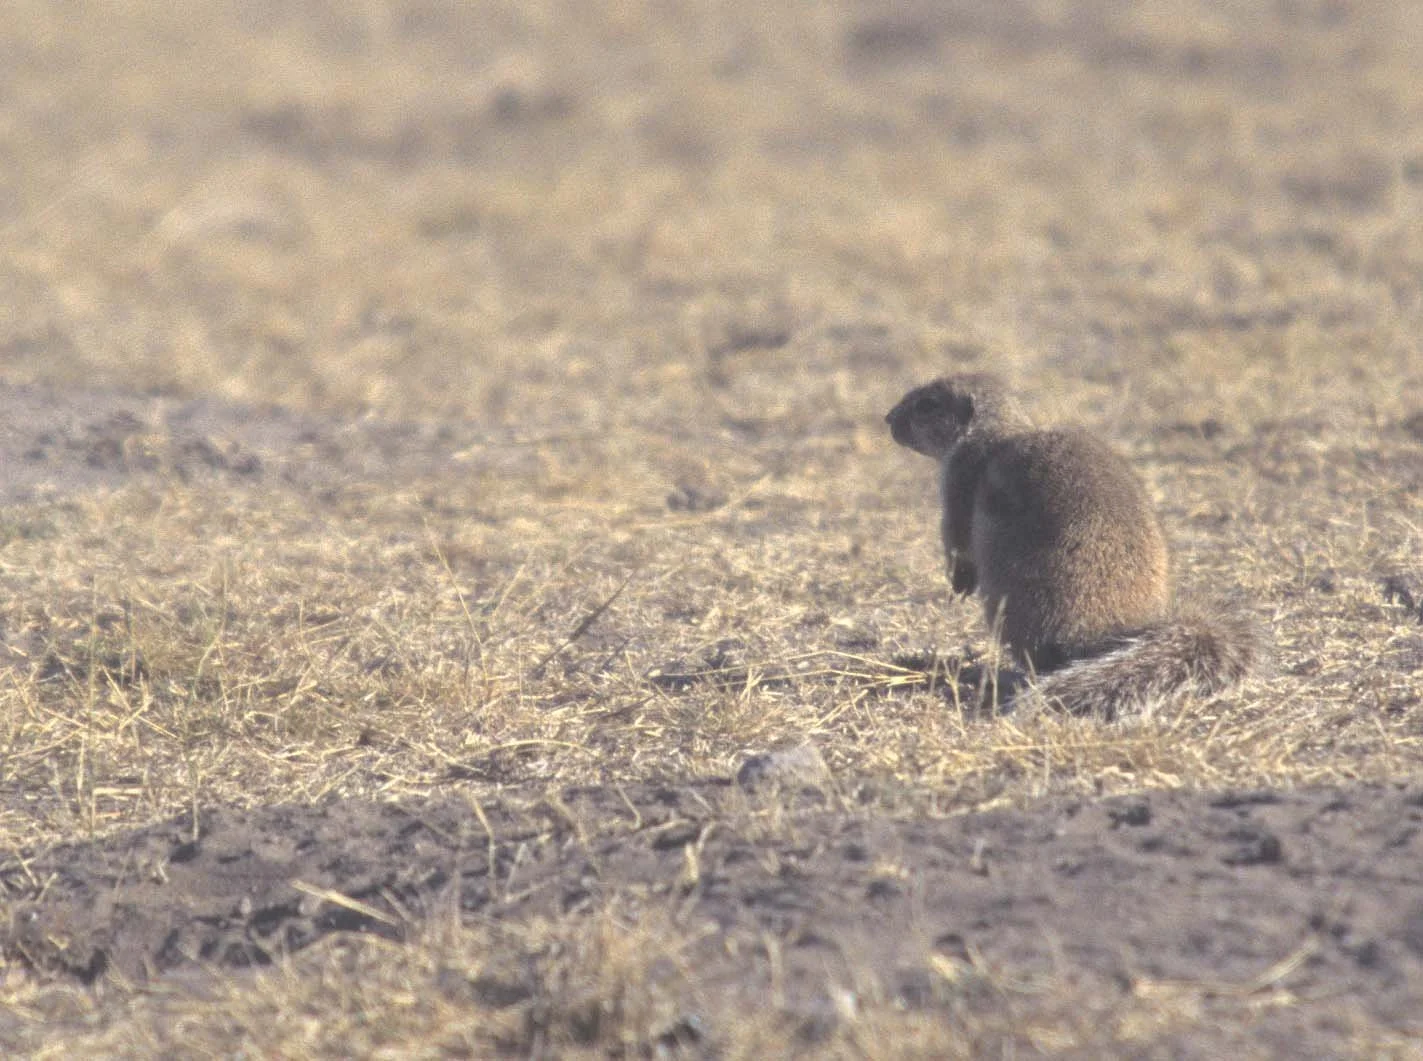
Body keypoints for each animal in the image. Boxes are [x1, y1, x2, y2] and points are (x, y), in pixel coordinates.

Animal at [885, 373, 1255, 718]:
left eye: (928, 404)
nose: (888, 418)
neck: (997, 431)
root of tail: (1105, 643)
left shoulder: (959, 476)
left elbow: (956, 536)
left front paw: (958, 583)